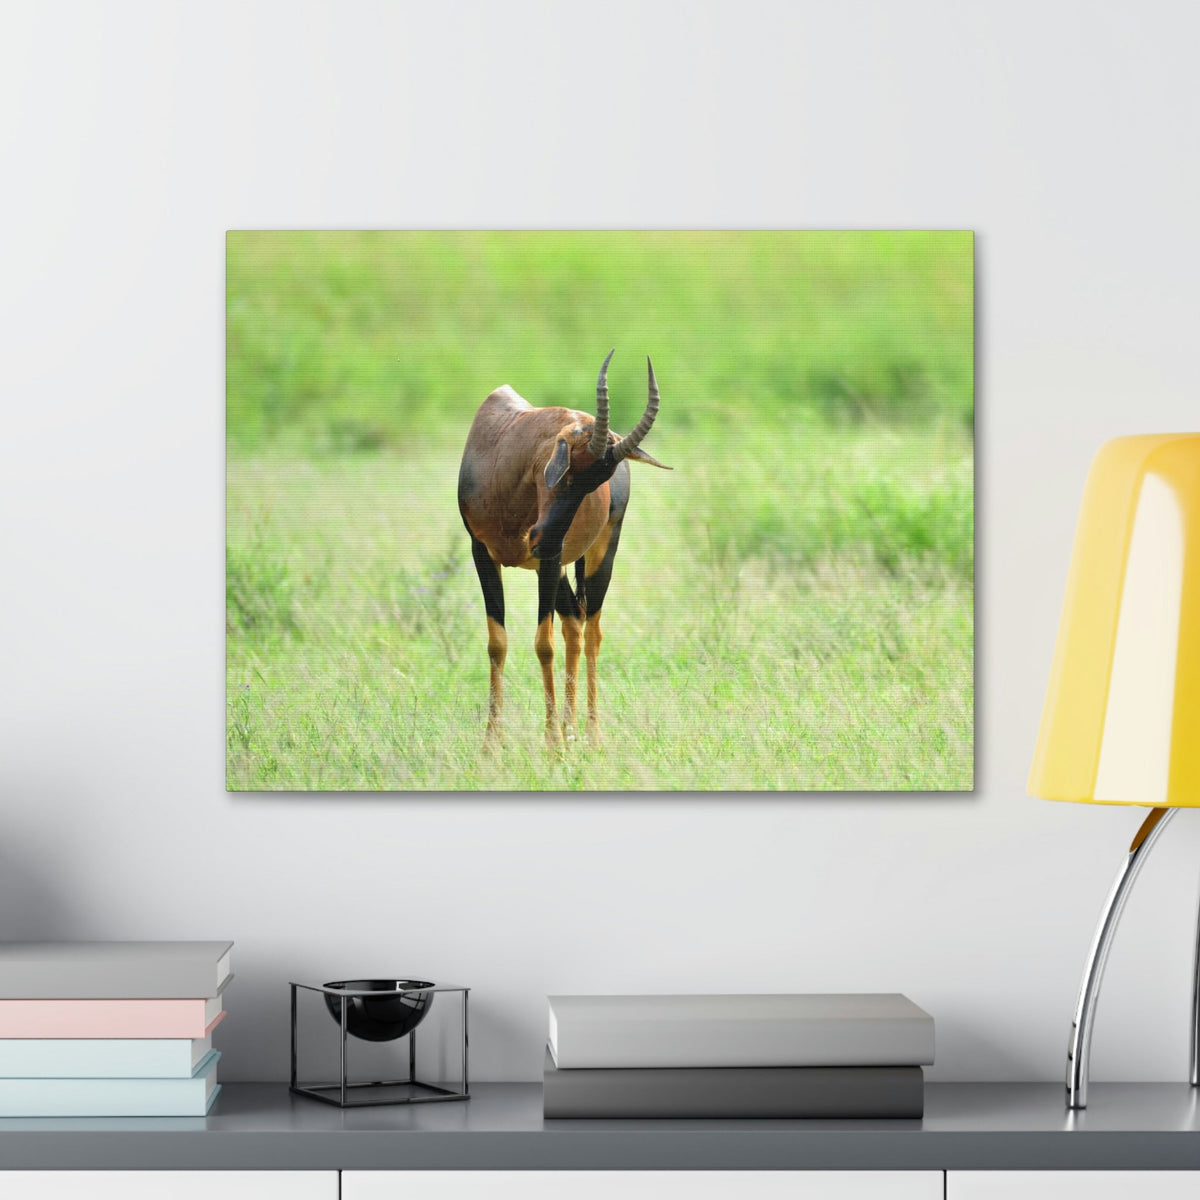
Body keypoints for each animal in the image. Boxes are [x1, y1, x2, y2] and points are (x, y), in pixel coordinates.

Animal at [457, 351, 669, 748]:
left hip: (595, 554)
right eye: (568, 469)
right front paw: (491, 746)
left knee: (592, 630)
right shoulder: (483, 553)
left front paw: (552, 745)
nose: (540, 535)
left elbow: (544, 645)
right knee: (573, 622)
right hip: (555, 569)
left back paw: (591, 735)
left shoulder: (550, 559)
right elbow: (497, 642)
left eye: (598, 482)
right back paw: (572, 732)